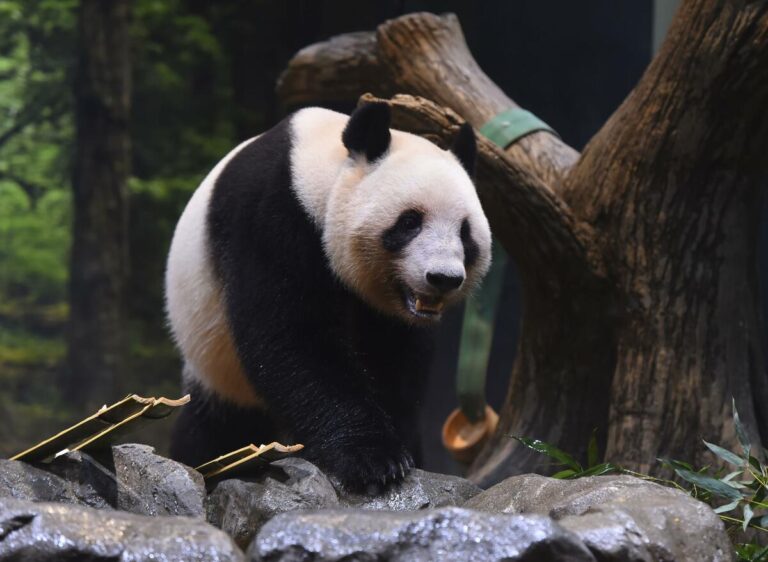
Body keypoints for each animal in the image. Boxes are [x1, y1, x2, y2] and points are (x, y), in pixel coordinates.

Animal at [165, 102, 492, 491]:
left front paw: (400, 447)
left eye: (465, 232)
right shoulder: (273, 218)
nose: (443, 278)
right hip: (215, 360)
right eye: (410, 221)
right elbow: (293, 337)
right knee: (213, 429)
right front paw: (373, 459)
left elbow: (395, 361)